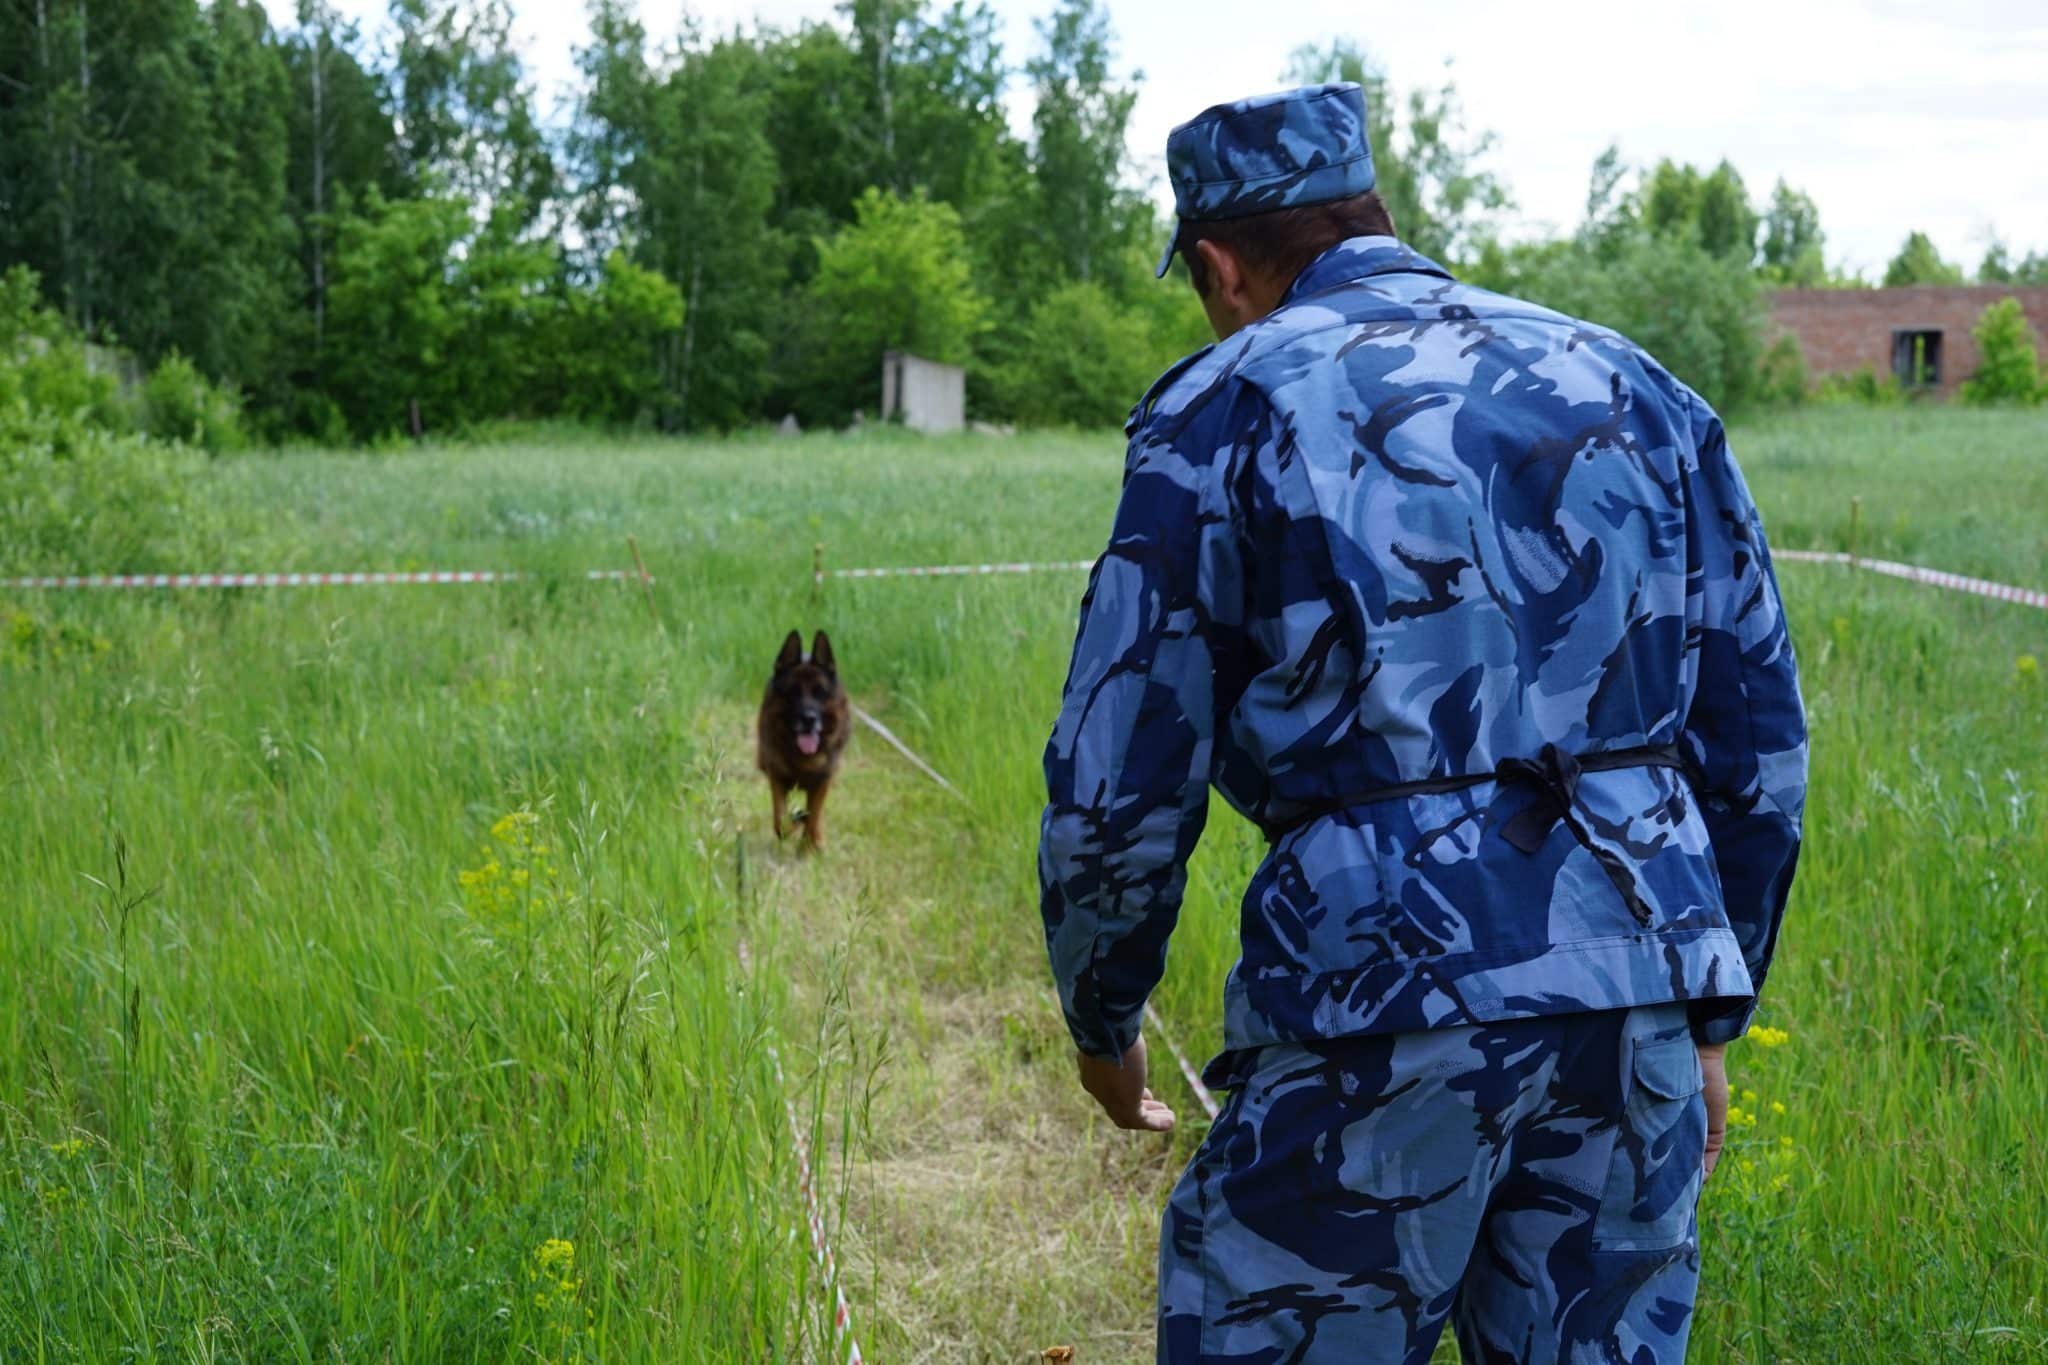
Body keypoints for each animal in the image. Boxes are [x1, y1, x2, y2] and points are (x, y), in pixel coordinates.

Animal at [753, 634, 847, 847]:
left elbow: (815, 815)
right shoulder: (777, 777)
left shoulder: (823, 780)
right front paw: (794, 823)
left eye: (820, 692)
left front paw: (812, 843)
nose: (809, 719)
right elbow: (781, 822)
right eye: (793, 692)